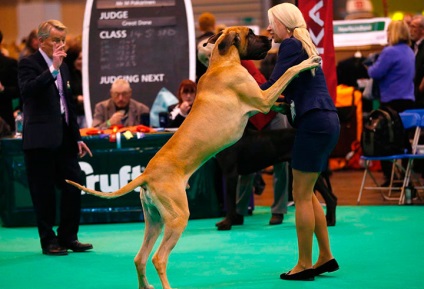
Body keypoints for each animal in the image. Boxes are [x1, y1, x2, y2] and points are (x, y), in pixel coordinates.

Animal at [64, 25, 320, 286]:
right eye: (250, 33)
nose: (269, 38)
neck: (222, 62)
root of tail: (145, 176)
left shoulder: (263, 100)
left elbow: (280, 95)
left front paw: (288, 105)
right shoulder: (262, 98)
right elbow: (287, 73)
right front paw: (308, 61)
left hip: (154, 221)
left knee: (139, 258)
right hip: (177, 218)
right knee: (158, 258)